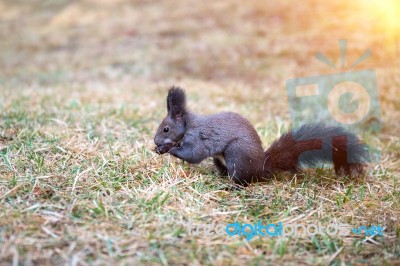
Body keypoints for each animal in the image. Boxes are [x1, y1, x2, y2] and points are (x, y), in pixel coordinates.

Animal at [152, 86, 368, 186]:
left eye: (166, 129)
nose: (155, 141)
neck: (188, 126)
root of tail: (262, 167)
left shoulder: (199, 137)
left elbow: (194, 154)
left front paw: (166, 149)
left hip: (237, 153)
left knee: (244, 180)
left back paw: (232, 186)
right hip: (221, 159)